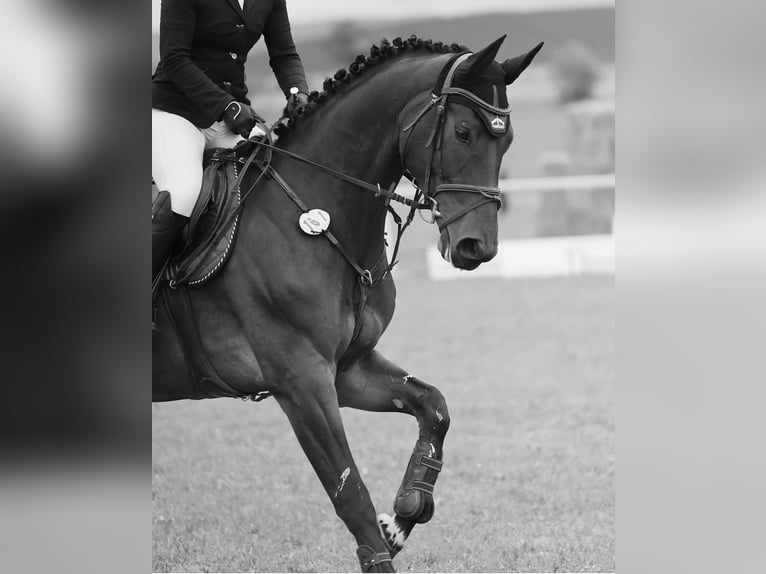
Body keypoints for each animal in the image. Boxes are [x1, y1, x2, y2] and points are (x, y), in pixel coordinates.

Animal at [153, 34, 542, 572]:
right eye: (463, 132)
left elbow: (434, 407)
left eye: (507, 141)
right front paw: (382, 547)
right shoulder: (300, 381)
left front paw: (403, 514)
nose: (476, 247)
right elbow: (349, 489)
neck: (319, 216)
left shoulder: (347, 369)